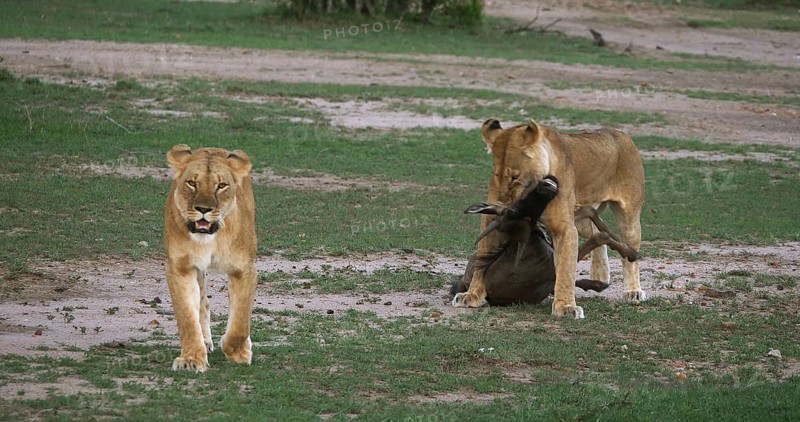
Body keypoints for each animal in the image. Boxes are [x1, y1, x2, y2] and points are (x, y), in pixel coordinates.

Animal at [164, 144, 257, 372]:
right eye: (192, 183)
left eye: (221, 186)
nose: (204, 209)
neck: (209, 238)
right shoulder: (180, 268)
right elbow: (187, 318)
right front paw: (191, 359)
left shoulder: (244, 269)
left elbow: (240, 321)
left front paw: (238, 352)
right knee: (202, 303)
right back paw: (205, 341)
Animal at [452, 119, 645, 318]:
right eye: (496, 174)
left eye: (515, 176)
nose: (502, 205)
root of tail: (620, 134)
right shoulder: (491, 222)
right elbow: (482, 260)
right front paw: (472, 295)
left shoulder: (565, 228)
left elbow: (565, 269)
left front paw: (565, 306)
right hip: (580, 219)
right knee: (595, 231)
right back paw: (600, 275)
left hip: (628, 216)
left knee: (629, 252)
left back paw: (633, 289)